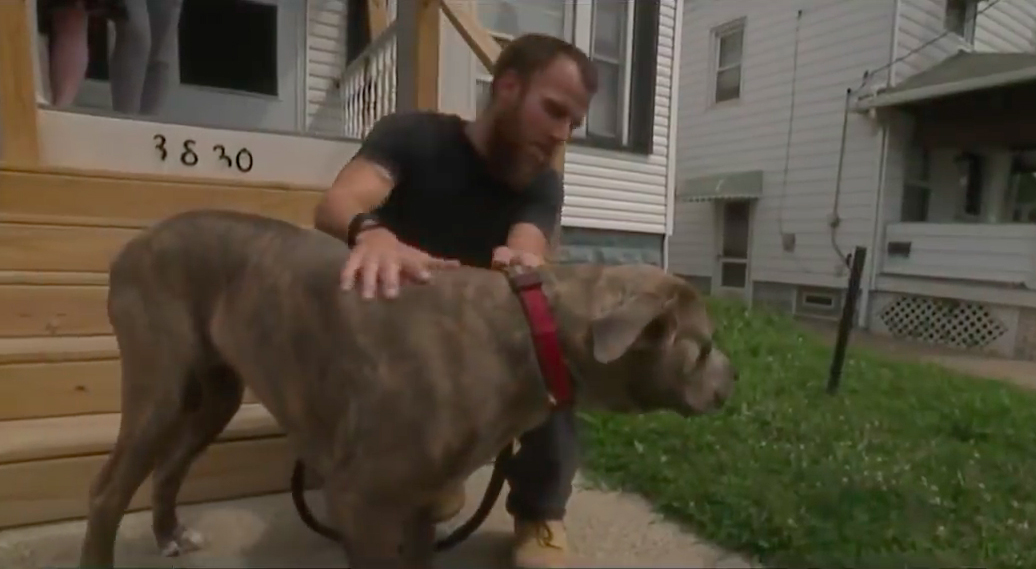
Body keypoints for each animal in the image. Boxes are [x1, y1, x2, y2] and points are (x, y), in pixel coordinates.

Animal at [78, 208, 737, 567]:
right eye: (704, 348)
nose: (733, 379)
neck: (532, 330)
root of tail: (130, 246)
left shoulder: (423, 501)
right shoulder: (361, 502)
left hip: (216, 394)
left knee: (169, 468)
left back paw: (169, 535)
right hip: (159, 386)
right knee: (107, 492)